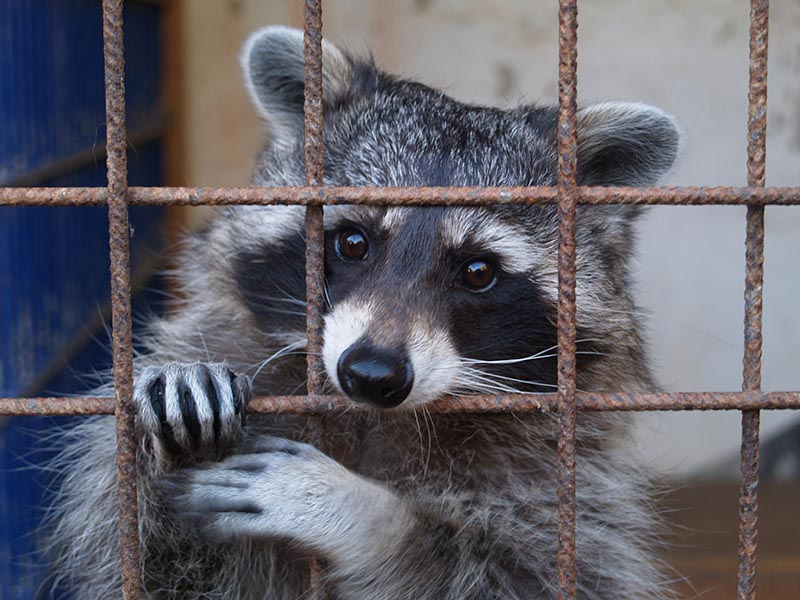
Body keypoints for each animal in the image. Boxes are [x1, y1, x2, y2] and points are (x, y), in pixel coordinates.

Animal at [44, 26, 682, 600]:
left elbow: (534, 574)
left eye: (478, 272)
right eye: (353, 242)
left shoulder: (566, 482)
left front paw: (366, 517)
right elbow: (144, 563)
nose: (372, 375)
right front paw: (171, 434)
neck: (377, 418)